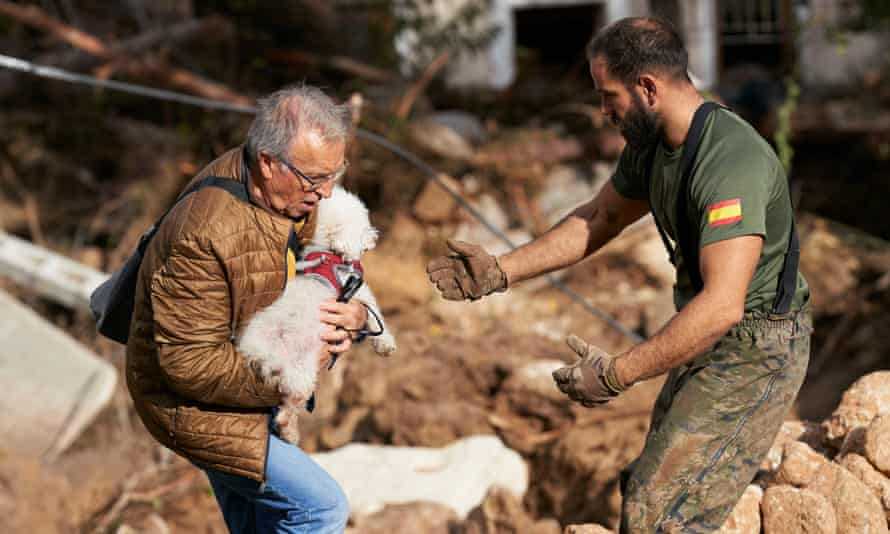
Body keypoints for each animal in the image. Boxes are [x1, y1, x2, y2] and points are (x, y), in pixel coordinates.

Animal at [239, 186, 398, 446]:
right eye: (363, 220)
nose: (374, 237)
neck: (326, 251)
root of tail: (262, 352)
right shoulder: (358, 290)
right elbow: (375, 315)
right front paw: (385, 344)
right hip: (301, 370)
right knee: (290, 406)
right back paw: (290, 432)